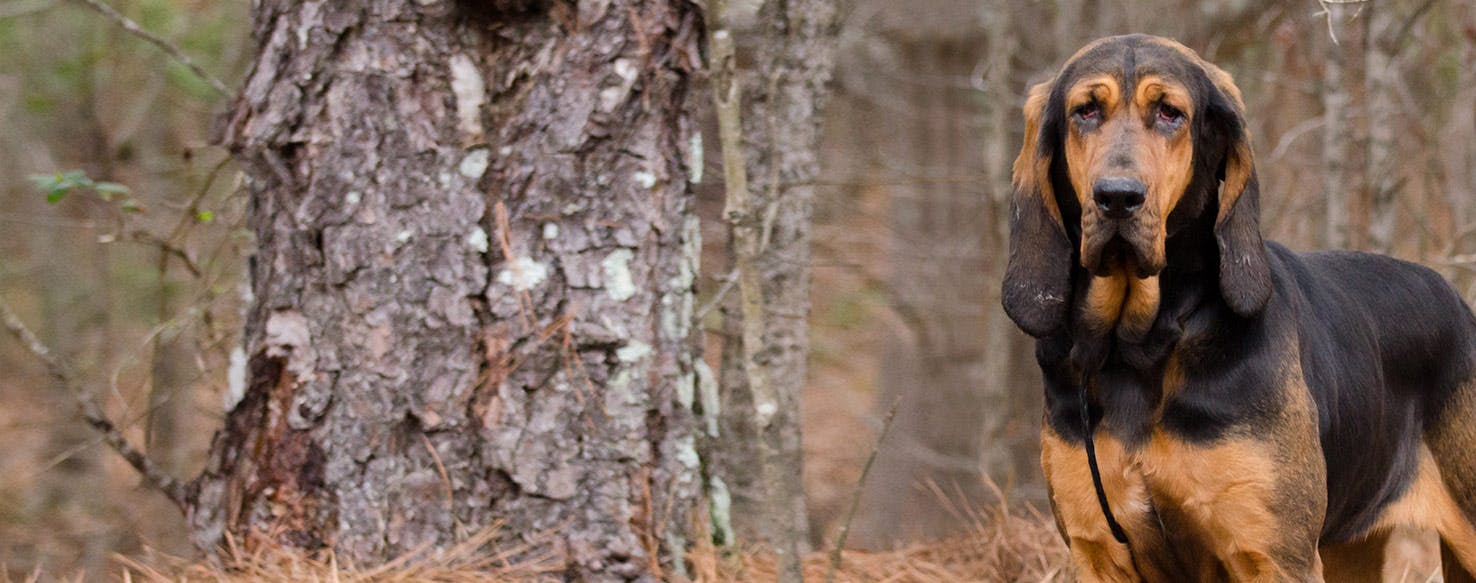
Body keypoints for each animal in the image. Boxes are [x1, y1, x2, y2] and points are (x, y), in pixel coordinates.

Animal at [1003, 34, 1476, 581]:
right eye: (1085, 110)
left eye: (1170, 113)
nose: (1118, 197)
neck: (1140, 347)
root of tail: (1461, 307)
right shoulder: (1097, 551)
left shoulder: (1272, 555)